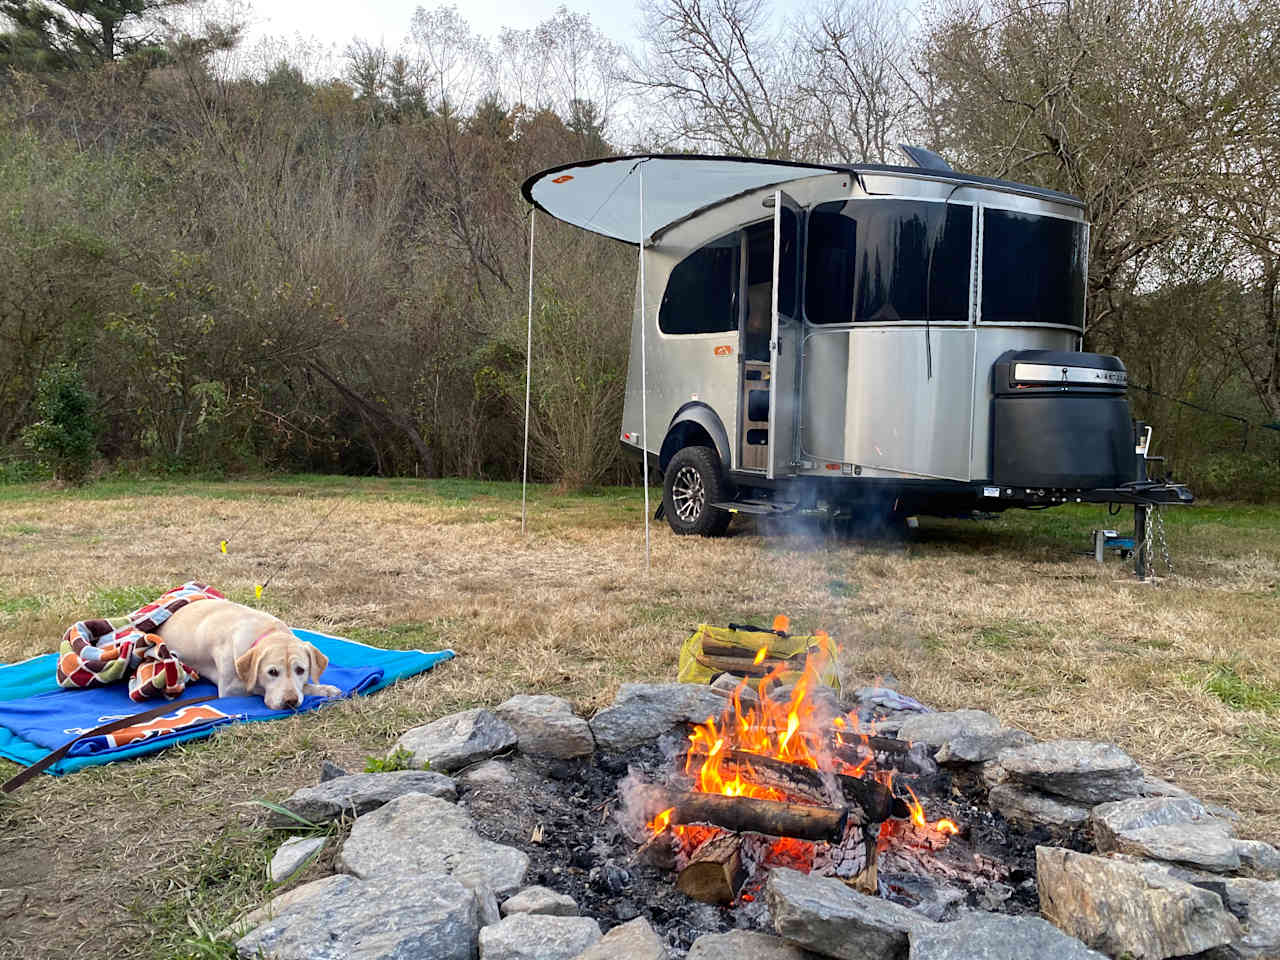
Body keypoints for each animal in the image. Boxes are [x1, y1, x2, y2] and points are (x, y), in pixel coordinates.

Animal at [156, 599, 340, 711]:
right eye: (272, 672)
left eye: (300, 670)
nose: (290, 702)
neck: (267, 631)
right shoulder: (229, 690)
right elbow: (257, 686)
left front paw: (324, 689)